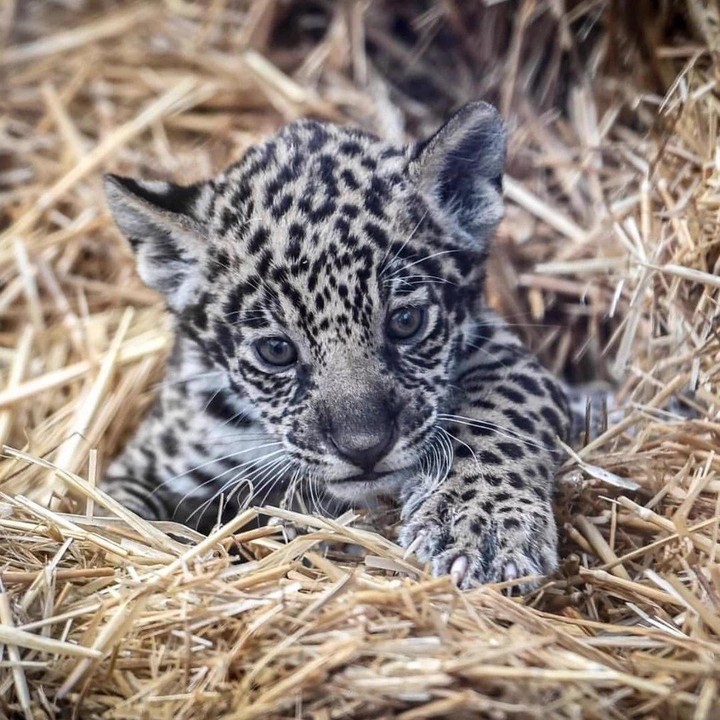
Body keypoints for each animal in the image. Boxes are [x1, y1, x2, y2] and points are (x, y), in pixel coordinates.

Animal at [102, 101, 571, 590]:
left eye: (405, 322)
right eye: (276, 351)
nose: (364, 449)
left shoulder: (506, 354)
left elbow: (499, 414)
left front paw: (481, 525)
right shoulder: (153, 457)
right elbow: (112, 517)